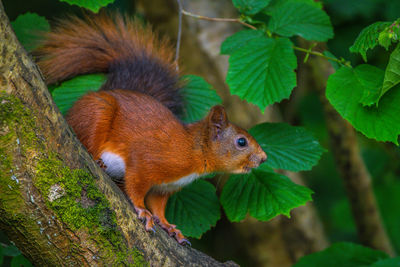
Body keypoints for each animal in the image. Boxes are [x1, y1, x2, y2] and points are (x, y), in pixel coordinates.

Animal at [34, 13, 266, 246]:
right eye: (241, 141)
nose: (263, 158)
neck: (192, 150)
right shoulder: (145, 162)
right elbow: (136, 188)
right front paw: (142, 210)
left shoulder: (164, 187)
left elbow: (158, 206)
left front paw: (169, 226)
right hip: (99, 111)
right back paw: (96, 158)